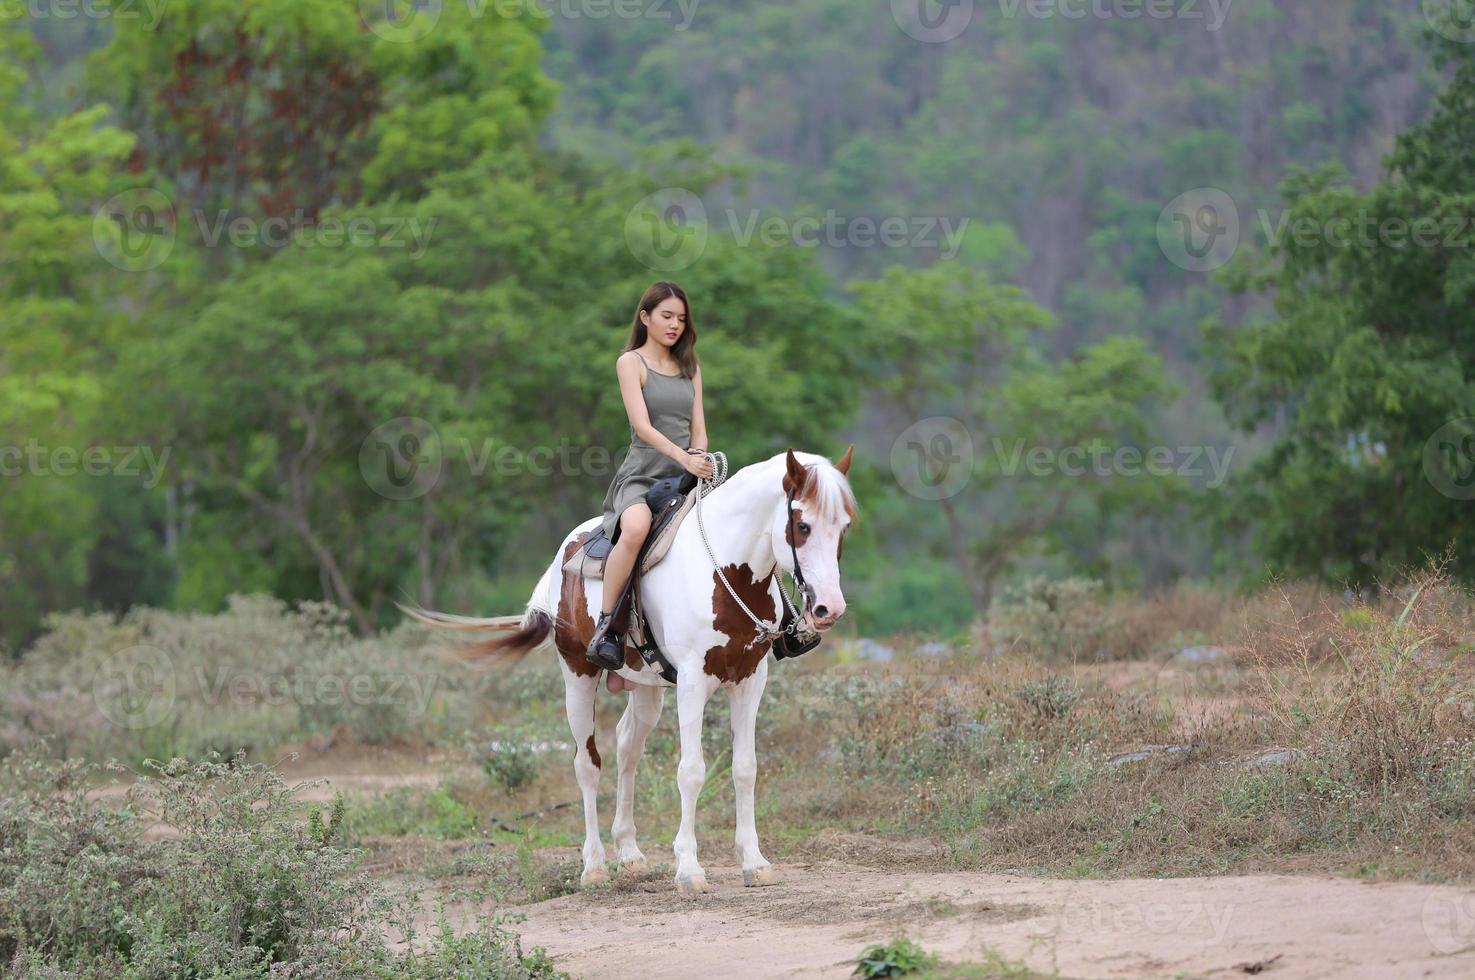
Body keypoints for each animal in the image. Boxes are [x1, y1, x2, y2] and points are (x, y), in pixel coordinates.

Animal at [398, 448, 861, 891]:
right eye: (802, 525)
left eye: (844, 527)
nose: (830, 609)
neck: (726, 569)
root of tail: (564, 553)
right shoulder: (692, 682)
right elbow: (691, 771)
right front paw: (689, 869)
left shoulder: (750, 680)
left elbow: (745, 769)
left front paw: (754, 862)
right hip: (578, 676)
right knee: (587, 764)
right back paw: (595, 866)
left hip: (646, 688)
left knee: (627, 748)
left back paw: (630, 853)